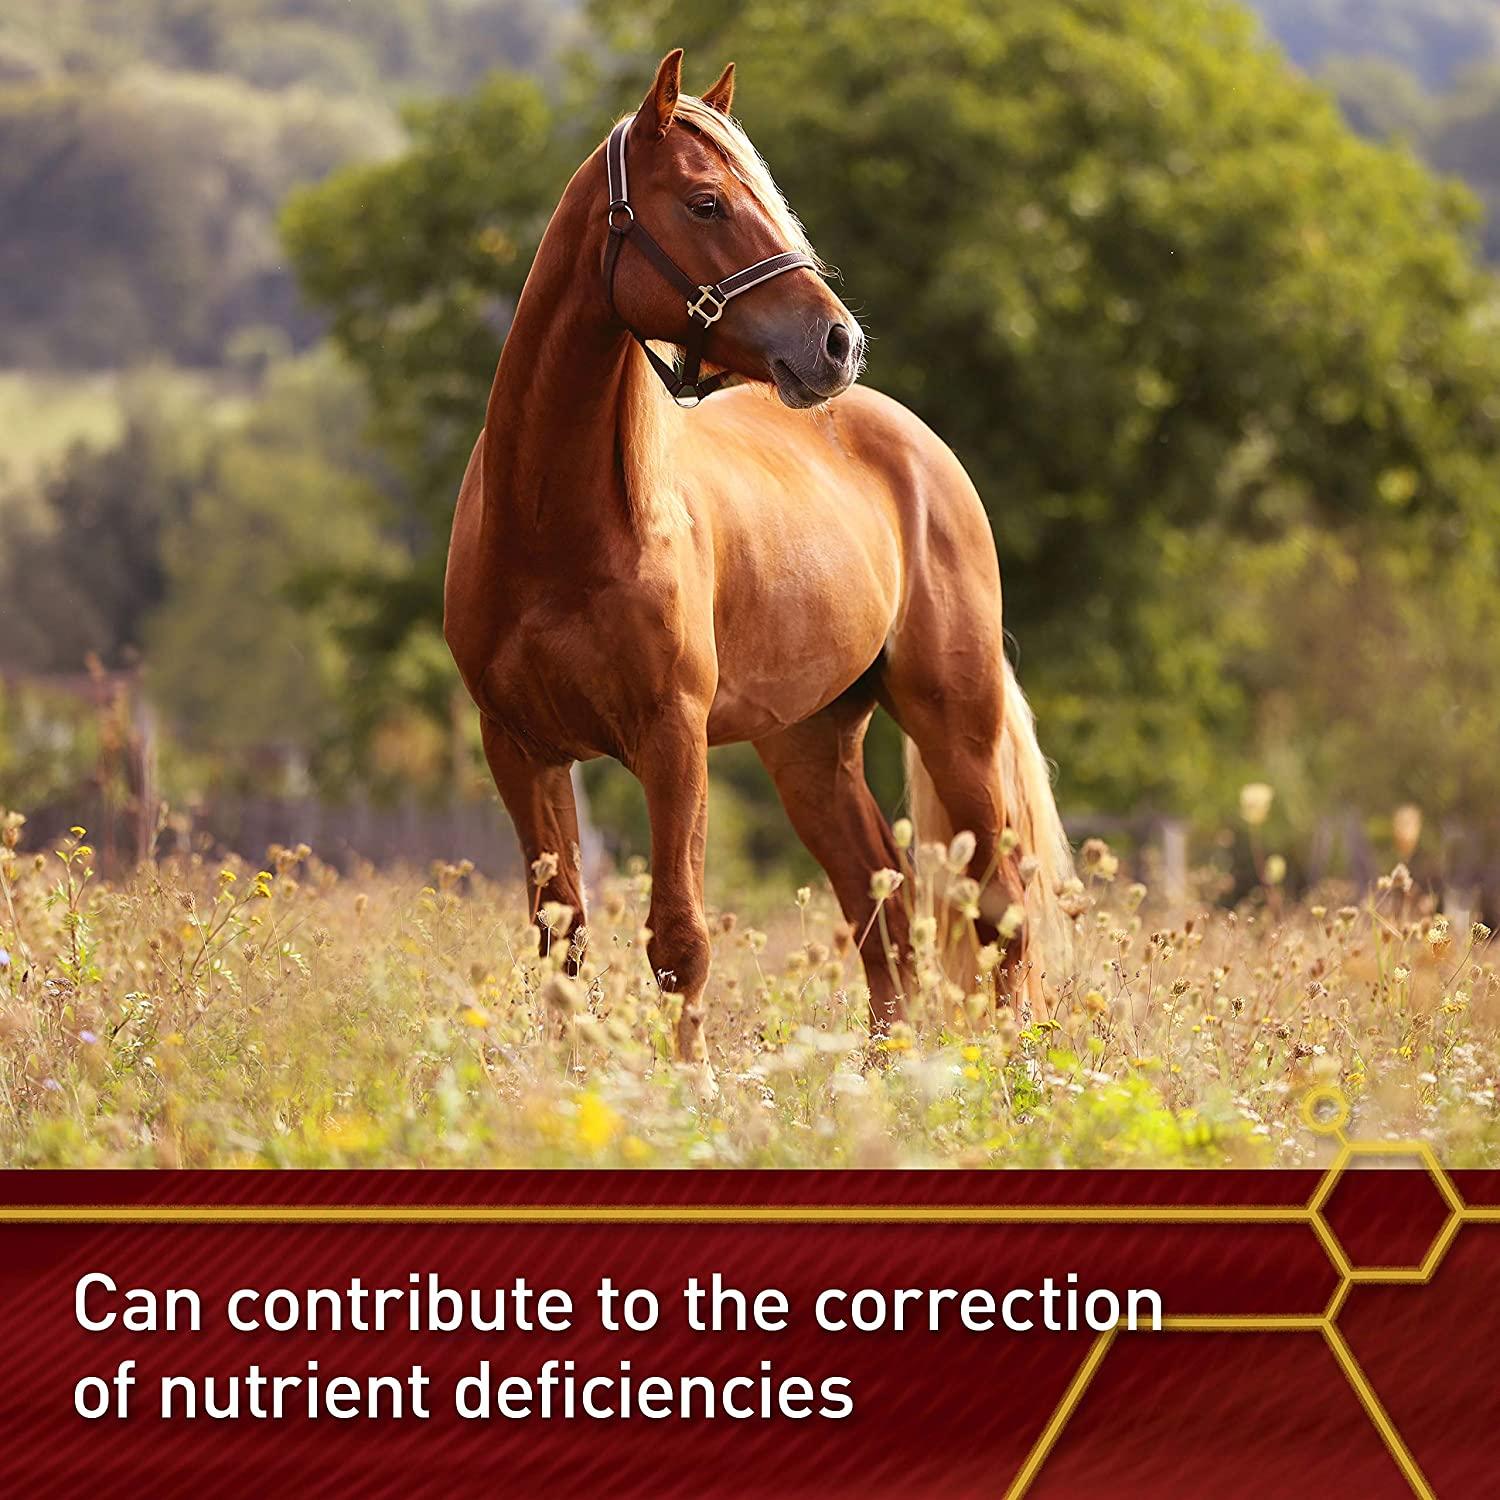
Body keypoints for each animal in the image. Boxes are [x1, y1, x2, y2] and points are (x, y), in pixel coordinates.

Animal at [444, 49, 1072, 1063]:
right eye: (706, 202)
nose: (838, 342)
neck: (554, 531)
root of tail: (919, 446)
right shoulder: (521, 749)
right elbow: (561, 943)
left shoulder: (671, 739)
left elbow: (679, 939)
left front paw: (689, 1086)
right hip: (810, 746)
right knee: (882, 912)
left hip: (956, 723)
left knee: (998, 909)